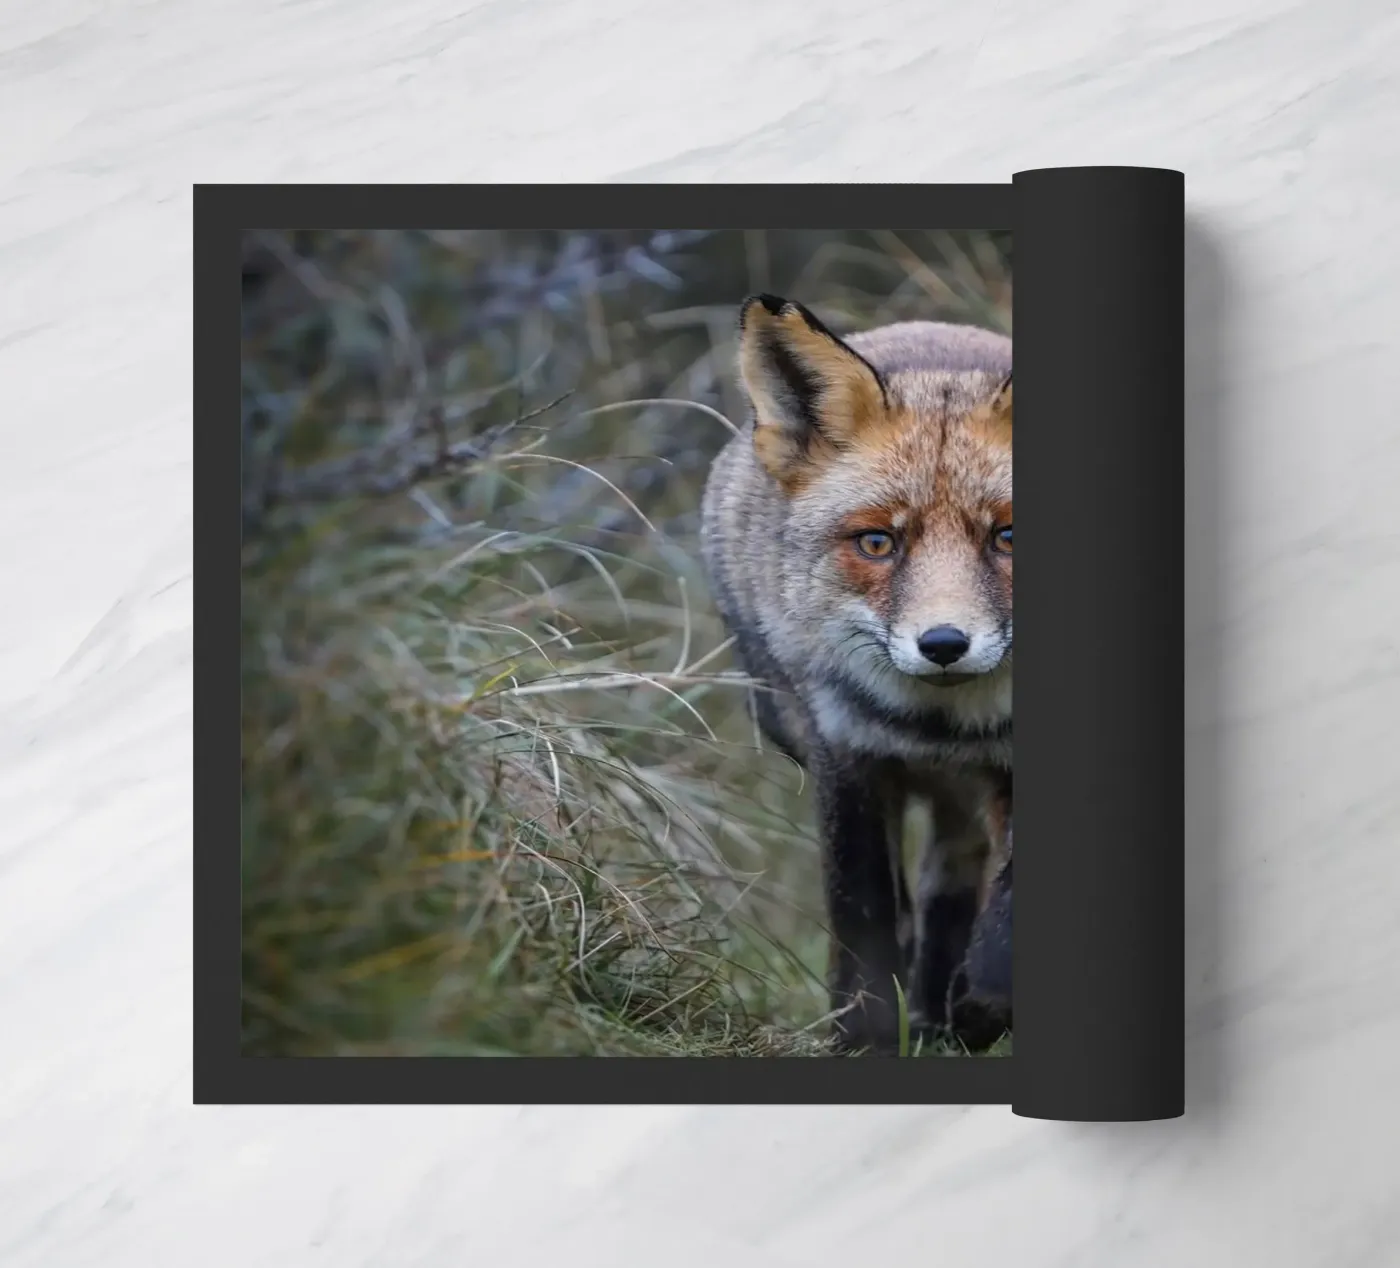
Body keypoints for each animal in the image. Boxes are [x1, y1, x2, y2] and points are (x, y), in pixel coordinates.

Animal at [699, 293, 1013, 1054]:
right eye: (878, 542)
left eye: (1007, 537)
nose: (943, 643)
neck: (945, 726)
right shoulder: (847, 755)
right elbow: (863, 914)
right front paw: (865, 1036)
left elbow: (1004, 936)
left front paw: (978, 1009)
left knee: (948, 882)